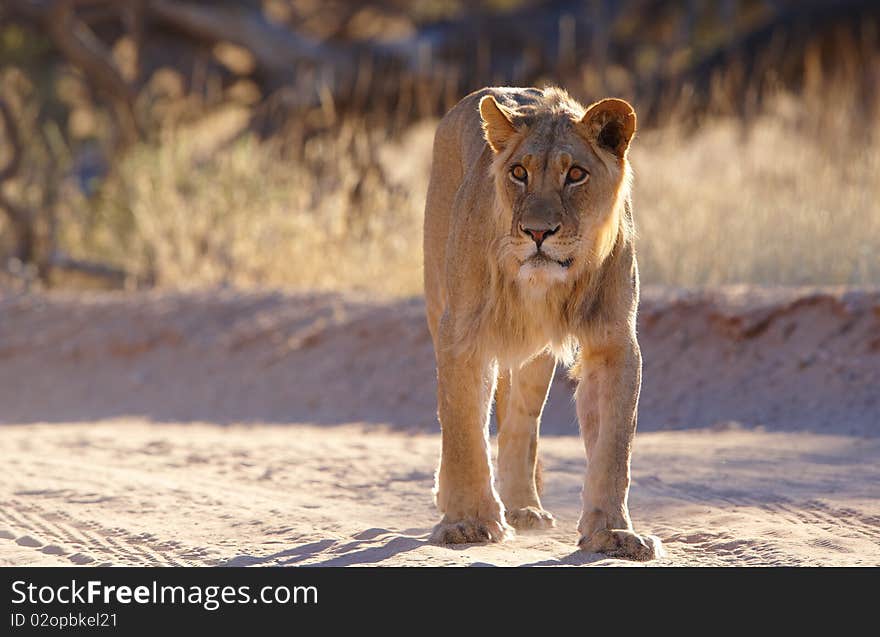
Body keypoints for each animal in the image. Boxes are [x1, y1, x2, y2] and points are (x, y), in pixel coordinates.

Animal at [422, 84, 664, 556]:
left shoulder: (613, 343)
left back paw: (523, 507)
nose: (537, 232)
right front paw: (466, 523)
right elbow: (463, 431)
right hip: (438, 303)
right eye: (519, 173)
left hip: (536, 361)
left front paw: (612, 531)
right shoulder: (461, 337)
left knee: (520, 426)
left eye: (576, 175)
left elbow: (614, 445)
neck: (542, 286)